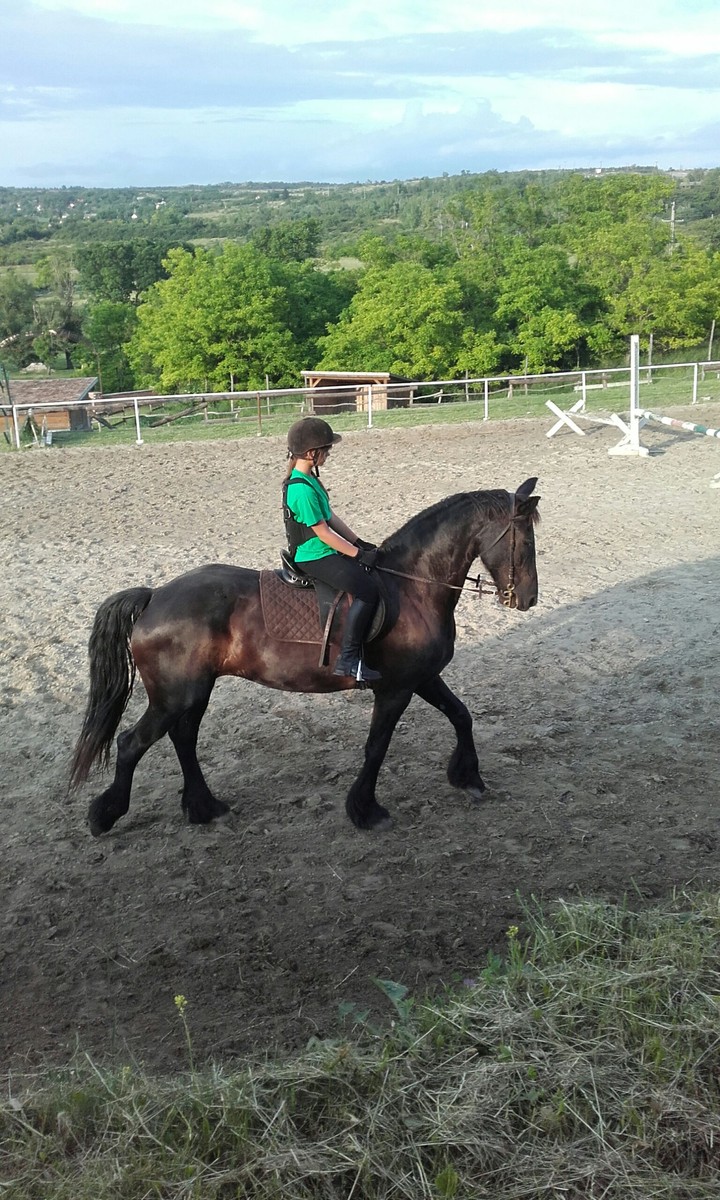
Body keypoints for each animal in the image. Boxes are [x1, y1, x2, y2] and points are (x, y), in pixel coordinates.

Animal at [69, 478, 540, 836]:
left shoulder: (421, 679)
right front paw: (366, 810)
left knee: (183, 739)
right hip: (174, 696)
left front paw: (469, 778)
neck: (412, 586)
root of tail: (154, 596)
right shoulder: (396, 689)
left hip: (193, 693)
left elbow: (461, 715)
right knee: (133, 743)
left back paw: (205, 807)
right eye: (525, 541)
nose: (529, 600)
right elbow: (377, 746)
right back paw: (105, 816)